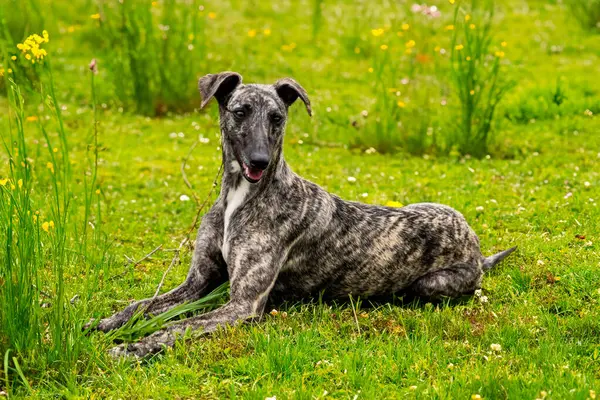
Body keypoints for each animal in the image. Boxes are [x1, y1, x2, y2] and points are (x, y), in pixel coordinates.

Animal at [92, 71, 516, 356]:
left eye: (277, 118)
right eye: (240, 111)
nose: (259, 161)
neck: (240, 198)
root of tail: (476, 247)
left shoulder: (242, 305)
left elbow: (178, 326)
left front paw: (132, 348)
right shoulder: (198, 282)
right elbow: (142, 305)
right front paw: (107, 323)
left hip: (429, 284)